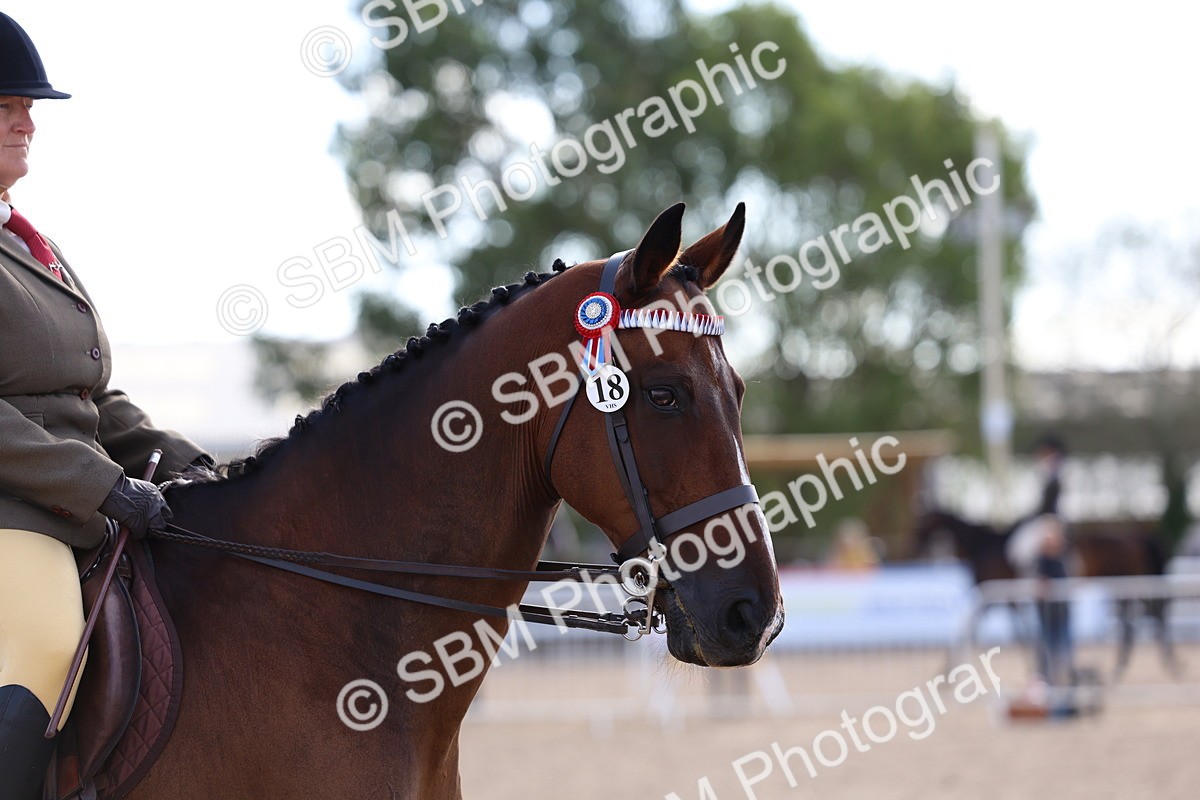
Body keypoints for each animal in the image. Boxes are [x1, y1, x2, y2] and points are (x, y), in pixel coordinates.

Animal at [912, 509, 1179, 679]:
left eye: (922, 528)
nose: (914, 550)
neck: (982, 545)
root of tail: (1135, 538)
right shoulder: (1000, 597)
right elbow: (1004, 630)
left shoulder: (998, 595)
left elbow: (1013, 632)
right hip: (1122, 587)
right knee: (1133, 623)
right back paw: (1125, 667)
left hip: (1130, 585)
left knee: (1150, 617)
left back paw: (1167, 665)